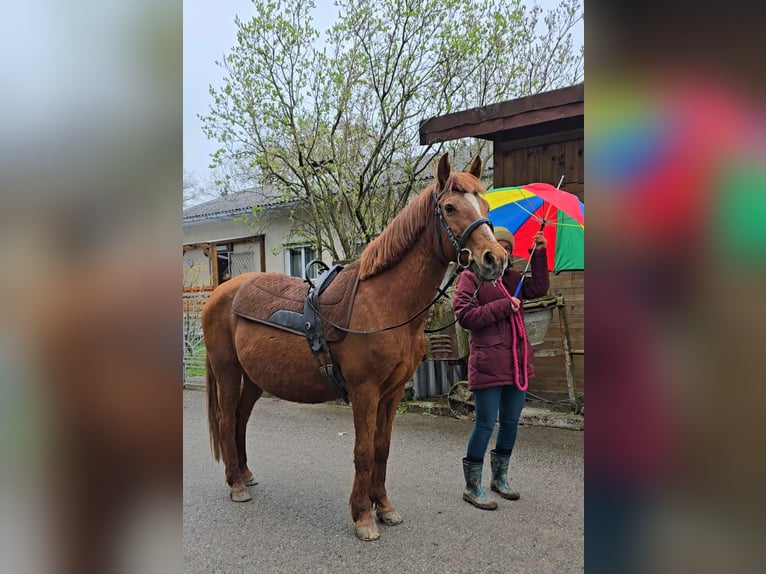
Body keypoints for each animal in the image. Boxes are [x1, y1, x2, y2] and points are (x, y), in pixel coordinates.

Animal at [202, 153, 508, 540]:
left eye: (485, 204)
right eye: (450, 207)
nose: (494, 259)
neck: (384, 303)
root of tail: (220, 293)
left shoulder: (392, 392)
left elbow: (381, 448)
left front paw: (385, 506)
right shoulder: (366, 391)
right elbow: (363, 451)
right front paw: (363, 515)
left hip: (254, 378)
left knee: (240, 419)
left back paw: (244, 473)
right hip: (227, 372)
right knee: (227, 420)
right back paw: (236, 485)